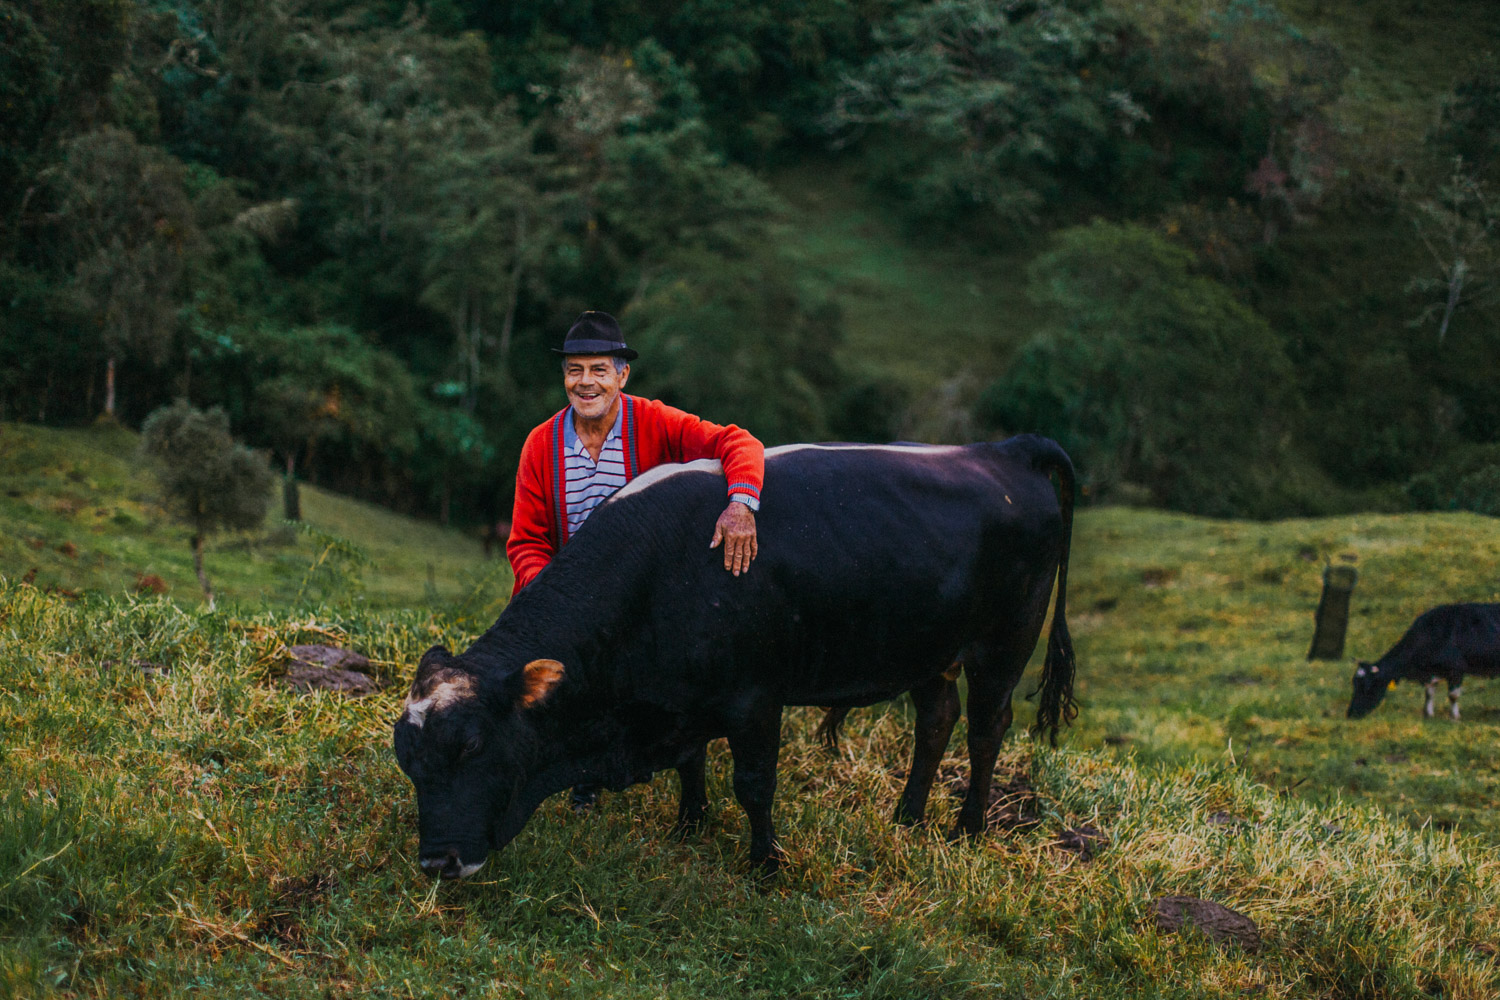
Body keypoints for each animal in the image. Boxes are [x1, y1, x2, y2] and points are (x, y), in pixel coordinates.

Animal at [390, 434, 1080, 875]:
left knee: (987, 729)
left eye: (474, 746)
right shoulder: (680, 700)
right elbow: (691, 763)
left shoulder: (755, 697)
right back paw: (906, 818)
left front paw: (766, 864)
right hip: (927, 648)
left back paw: (967, 830)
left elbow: (753, 784)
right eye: (409, 761)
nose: (438, 861)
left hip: (1003, 644)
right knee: (937, 720)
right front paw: (688, 826)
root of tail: (1004, 449)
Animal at [1350, 602, 1500, 719]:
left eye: (1367, 686)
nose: (1351, 714)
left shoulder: (1456, 669)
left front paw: (1454, 717)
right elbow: (1429, 693)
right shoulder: (1431, 673)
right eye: (1354, 684)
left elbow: (1453, 695)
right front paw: (1428, 714)